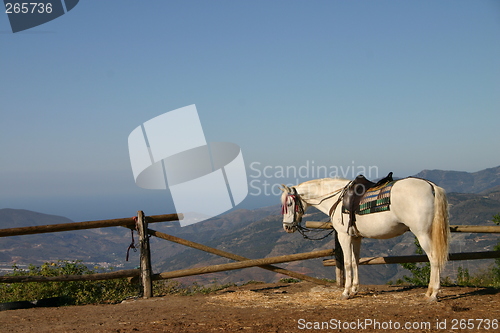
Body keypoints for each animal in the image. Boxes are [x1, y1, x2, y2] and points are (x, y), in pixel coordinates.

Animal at [282, 176, 450, 300]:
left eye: (289, 204)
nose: (287, 227)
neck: (337, 199)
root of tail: (430, 186)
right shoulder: (356, 237)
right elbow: (356, 261)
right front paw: (354, 289)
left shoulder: (344, 236)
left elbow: (347, 263)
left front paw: (346, 292)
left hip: (422, 234)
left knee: (434, 259)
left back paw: (432, 294)